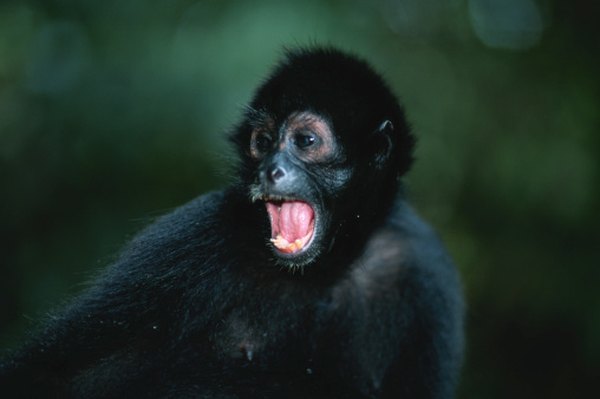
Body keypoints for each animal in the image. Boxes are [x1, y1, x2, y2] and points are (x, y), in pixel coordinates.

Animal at [0, 47, 464, 399]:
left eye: (306, 141)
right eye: (263, 142)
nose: (270, 170)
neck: (321, 273)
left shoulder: (421, 266)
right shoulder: (199, 235)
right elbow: (44, 373)